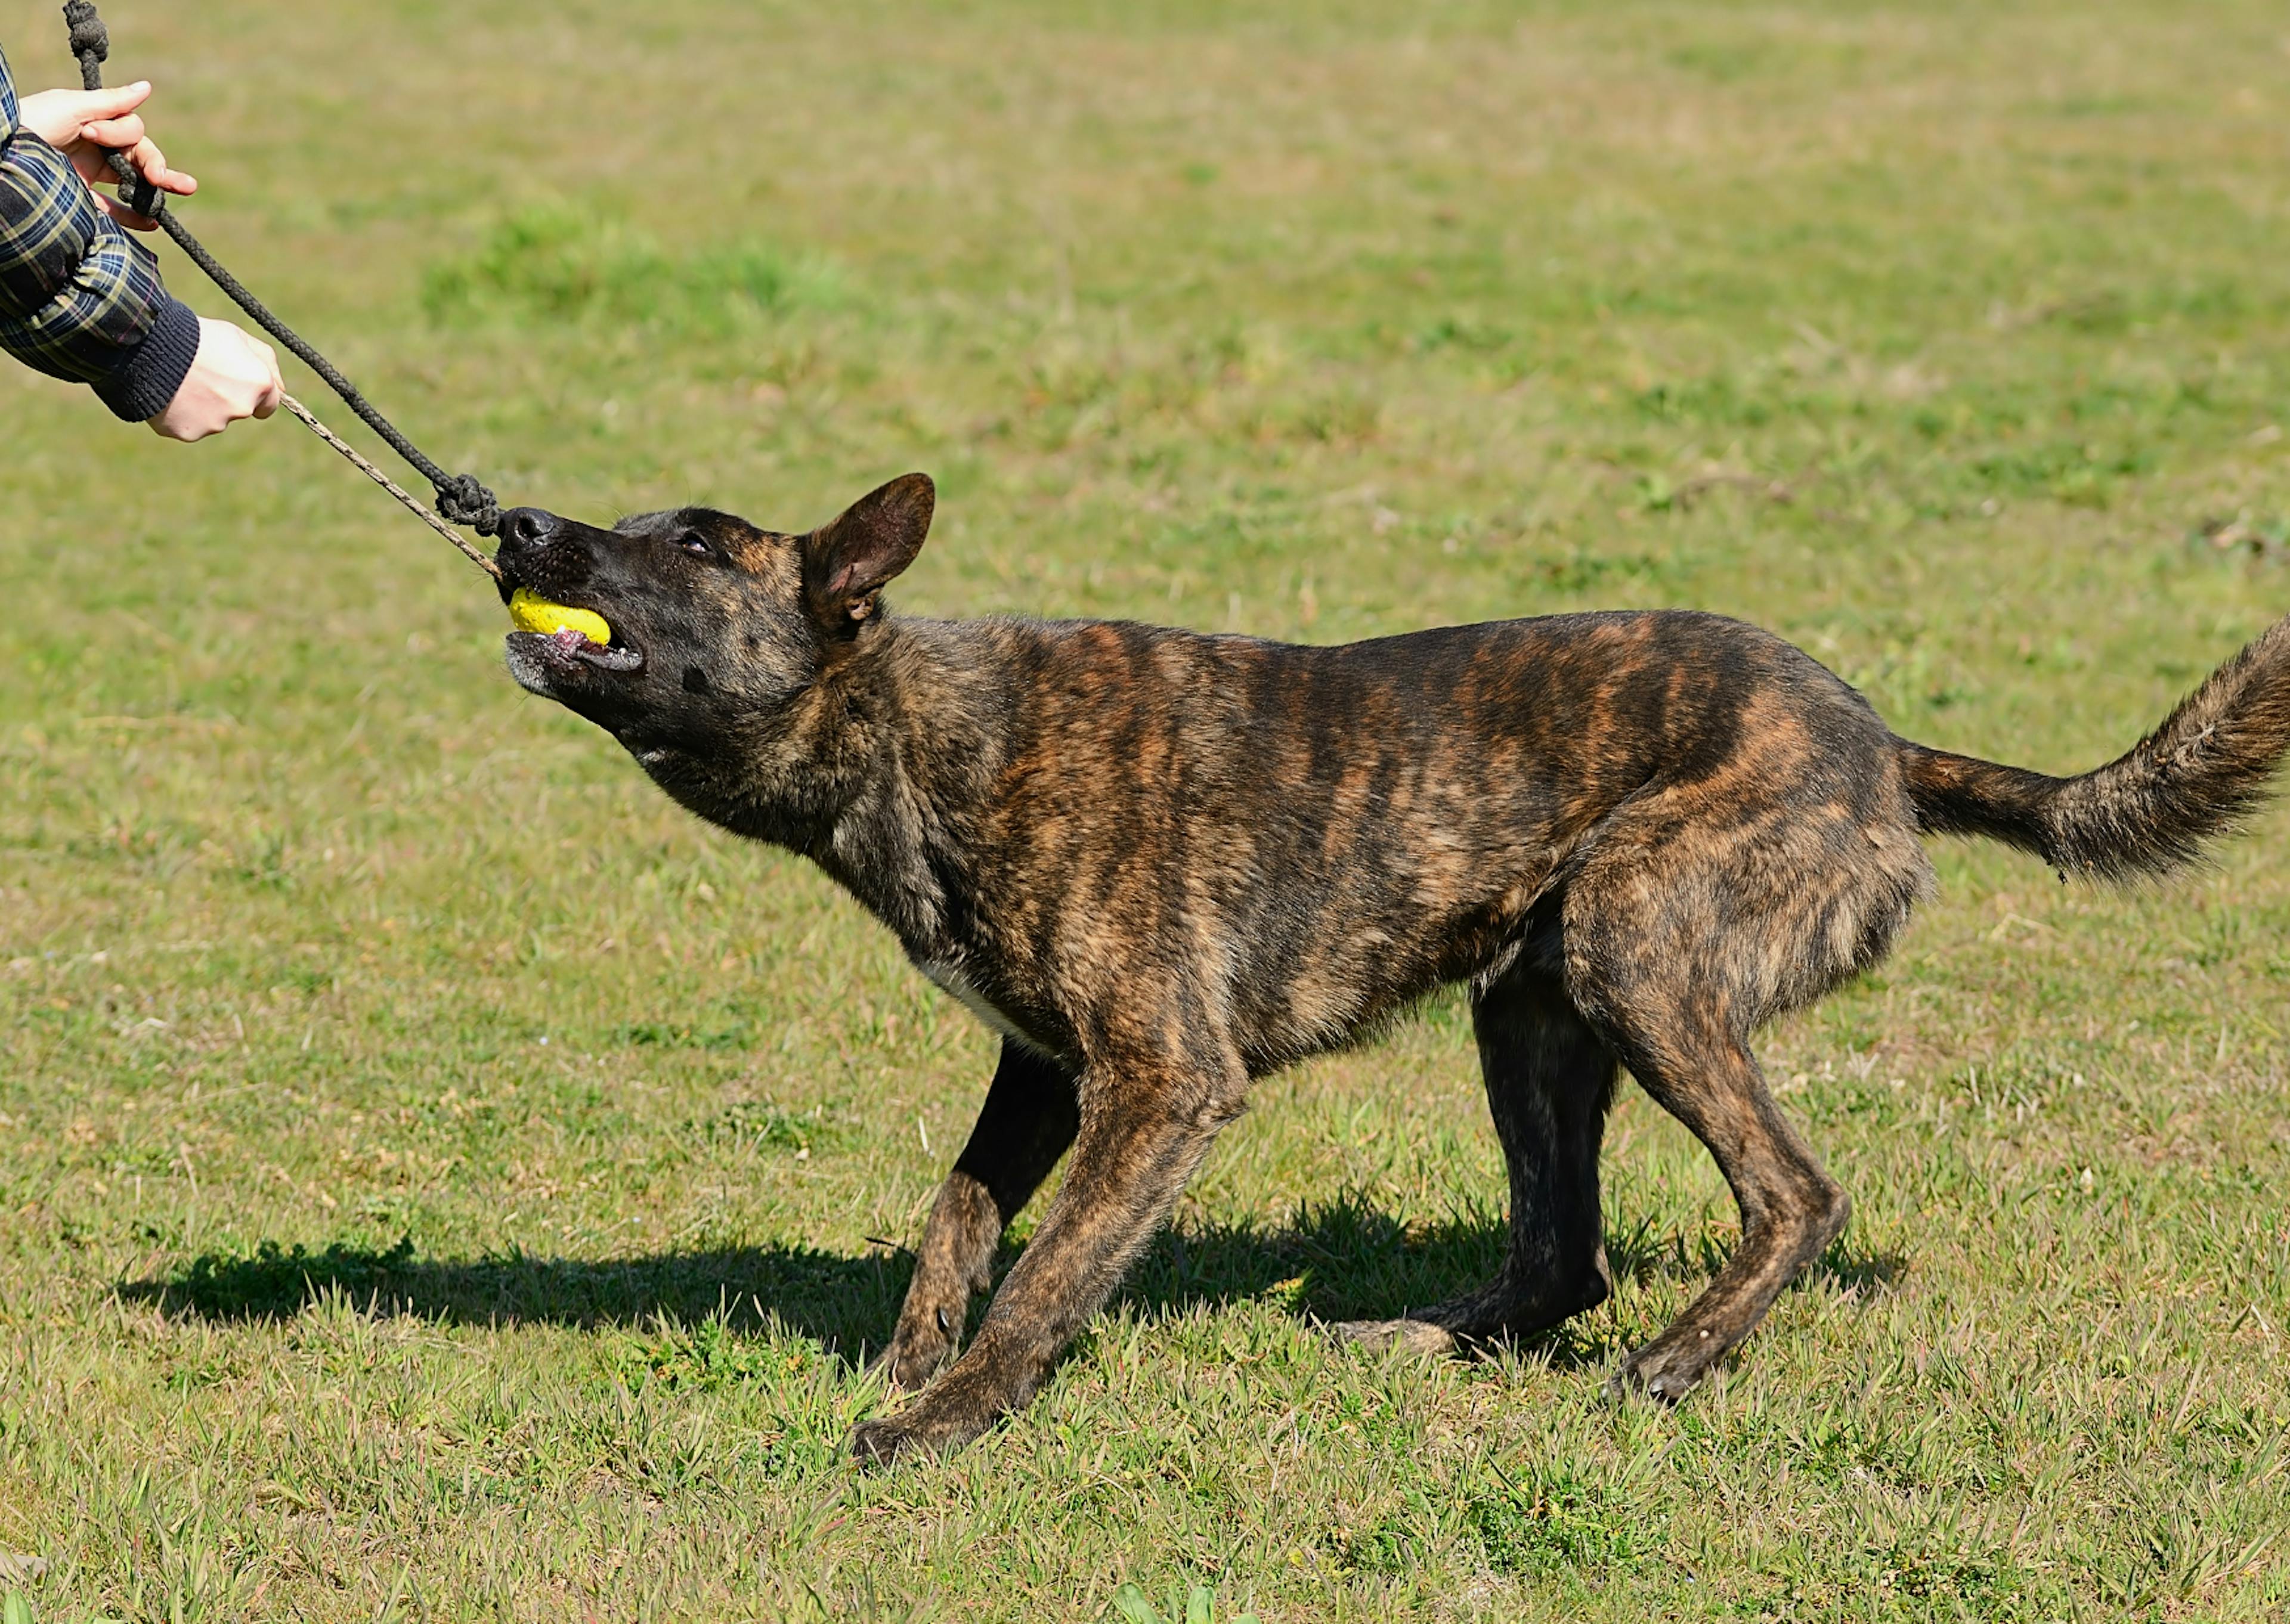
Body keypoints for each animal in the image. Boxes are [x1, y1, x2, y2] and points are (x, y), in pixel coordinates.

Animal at [492, 474, 2290, 1465]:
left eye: (698, 546)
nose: (512, 520)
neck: (927, 736)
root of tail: (1881, 747)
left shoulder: (1158, 1084)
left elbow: (1052, 1269)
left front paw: (939, 1425)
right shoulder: (1042, 1070)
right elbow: (956, 1227)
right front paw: (907, 1365)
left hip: (1638, 946)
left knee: (1792, 1192)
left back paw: (1680, 1362)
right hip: (1532, 1006)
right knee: (1562, 1250)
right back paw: (1440, 1341)